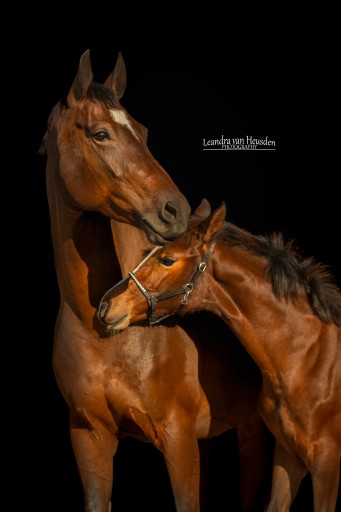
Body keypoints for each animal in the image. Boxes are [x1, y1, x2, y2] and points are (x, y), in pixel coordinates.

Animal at [41, 49, 270, 512]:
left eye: (143, 131)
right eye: (100, 134)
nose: (175, 209)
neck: (102, 333)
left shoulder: (178, 440)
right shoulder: (88, 438)